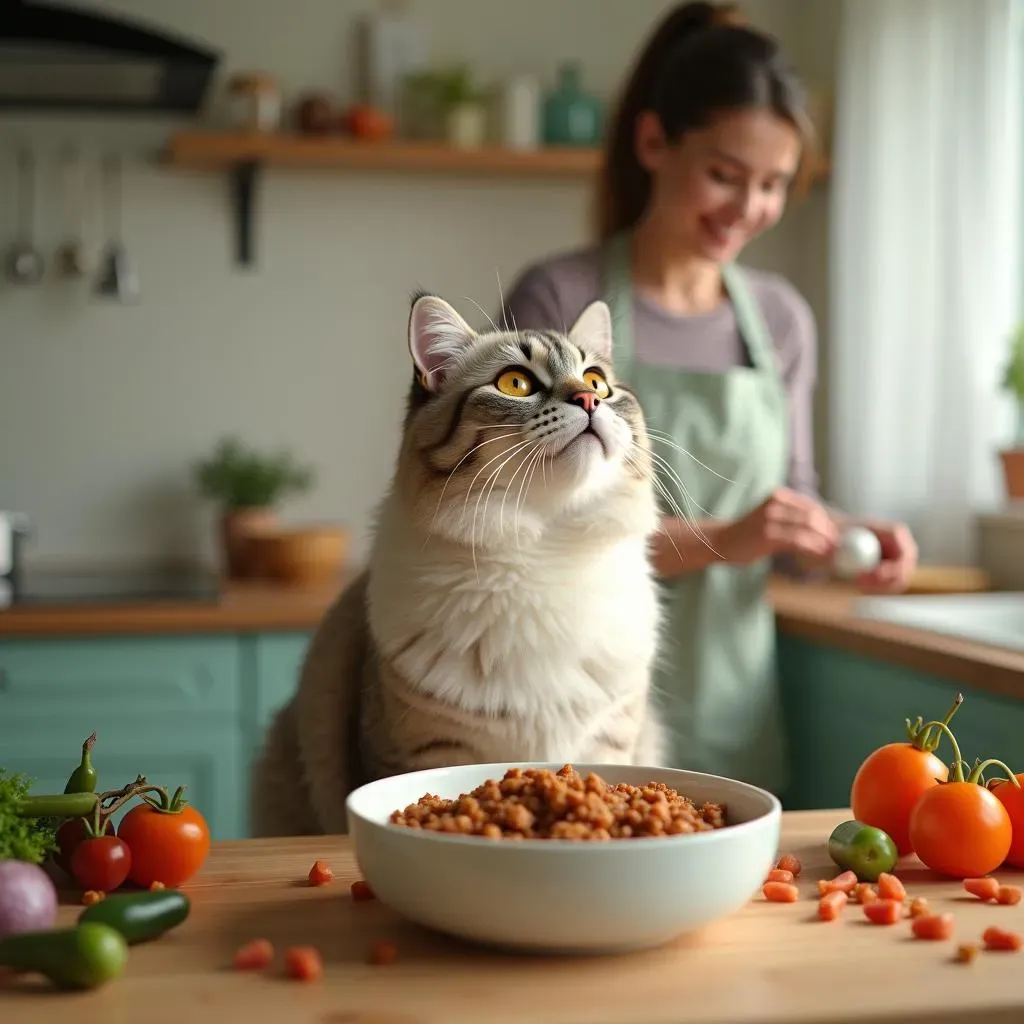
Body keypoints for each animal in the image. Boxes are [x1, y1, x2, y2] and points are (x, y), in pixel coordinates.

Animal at [247, 292, 663, 835]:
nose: (589, 401)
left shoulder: (609, 741)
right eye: (516, 383)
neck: (541, 549)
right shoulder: (427, 752)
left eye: (597, 382)